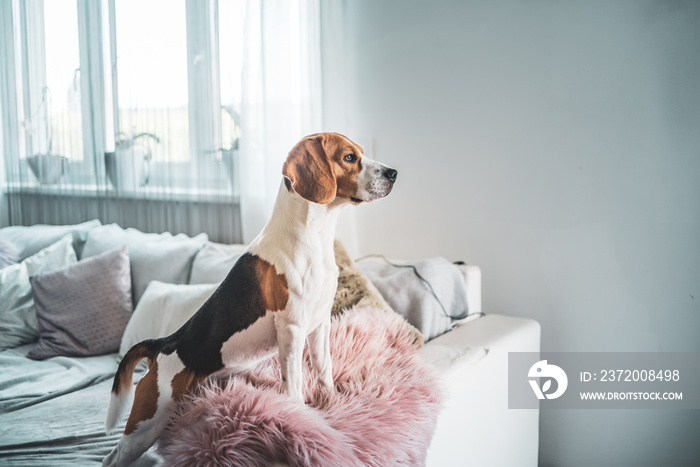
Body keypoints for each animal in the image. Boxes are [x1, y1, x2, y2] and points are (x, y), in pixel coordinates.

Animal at [104, 133, 400, 467]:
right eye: (350, 157)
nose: (393, 173)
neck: (312, 236)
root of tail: (163, 343)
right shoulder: (292, 330)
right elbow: (294, 386)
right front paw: (303, 421)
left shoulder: (319, 324)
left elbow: (325, 371)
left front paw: (333, 406)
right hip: (148, 422)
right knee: (113, 458)